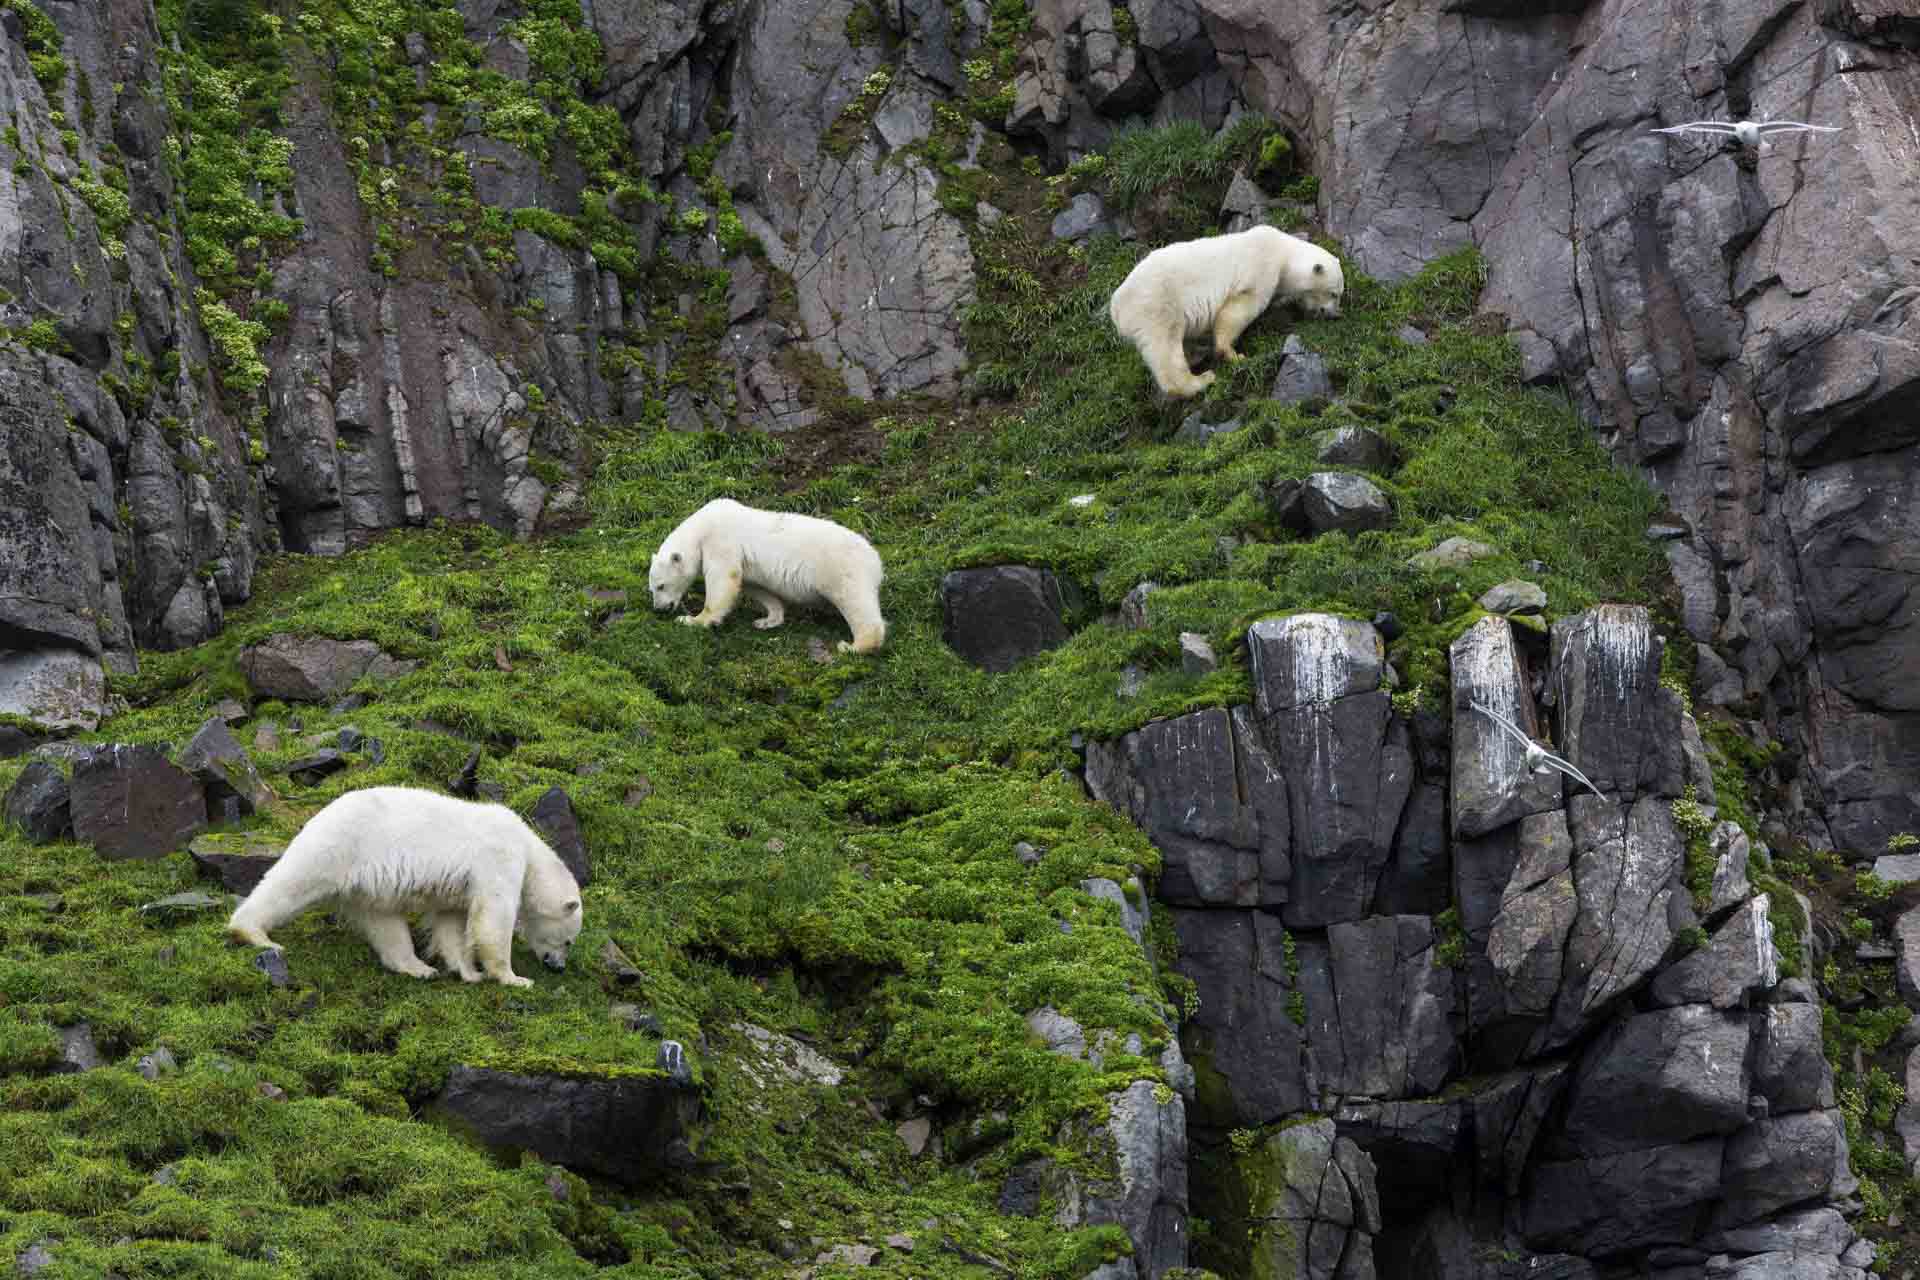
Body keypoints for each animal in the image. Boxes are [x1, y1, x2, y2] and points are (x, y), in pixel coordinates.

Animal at [227, 786, 579, 990]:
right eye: (569, 941)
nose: (559, 967)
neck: (528, 848)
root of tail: (322, 813)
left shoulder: (461, 887)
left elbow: (451, 922)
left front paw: (468, 972)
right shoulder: (499, 857)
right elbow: (493, 918)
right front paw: (514, 978)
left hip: (365, 886)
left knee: (385, 924)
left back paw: (419, 968)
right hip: (338, 846)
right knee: (291, 883)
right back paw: (253, 932)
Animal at [645, 498, 883, 656]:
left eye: (661, 586)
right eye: (652, 588)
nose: (659, 609)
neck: (701, 527)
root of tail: (875, 561)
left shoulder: (721, 540)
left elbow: (723, 579)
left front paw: (692, 620)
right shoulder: (746, 564)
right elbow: (755, 587)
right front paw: (767, 620)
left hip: (841, 569)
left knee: (855, 602)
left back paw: (854, 645)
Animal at [1105, 222, 1344, 397]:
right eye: (1334, 294)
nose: (1335, 314)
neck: (1282, 250)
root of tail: (1116, 308)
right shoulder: (1261, 267)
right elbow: (1240, 308)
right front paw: (1234, 354)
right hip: (1156, 306)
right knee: (1166, 348)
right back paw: (1201, 379)